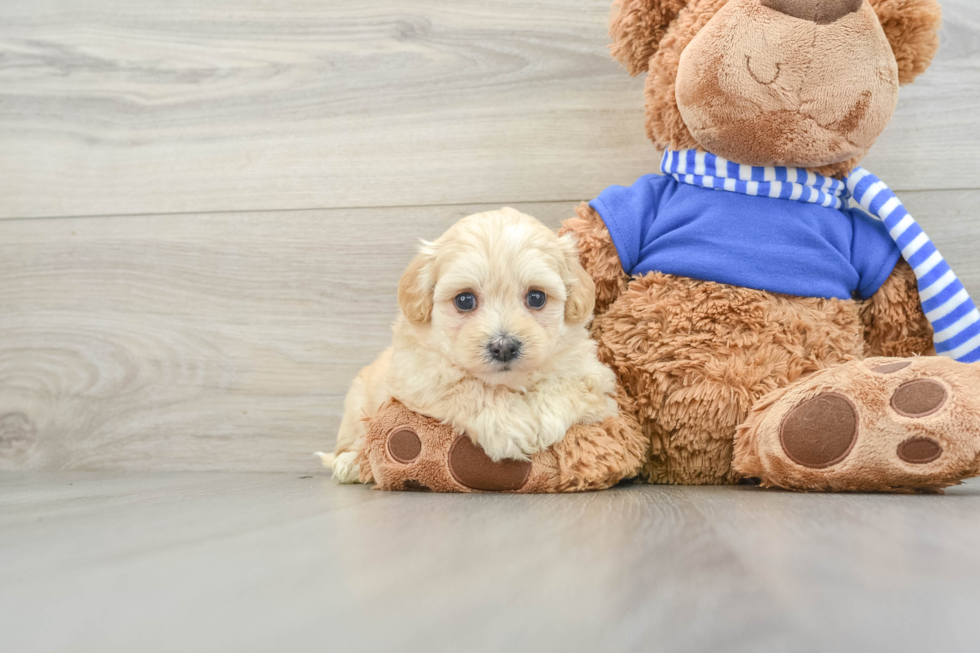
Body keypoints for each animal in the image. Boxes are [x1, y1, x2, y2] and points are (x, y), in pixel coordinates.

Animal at [326, 206, 616, 482]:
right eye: (464, 300)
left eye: (536, 297)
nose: (504, 346)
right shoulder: (419, 375)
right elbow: (466, 387)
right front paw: (510, 425)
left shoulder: (592, 375)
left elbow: (567, 385)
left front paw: (545, 420)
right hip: (357, 404)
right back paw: (350, 464)